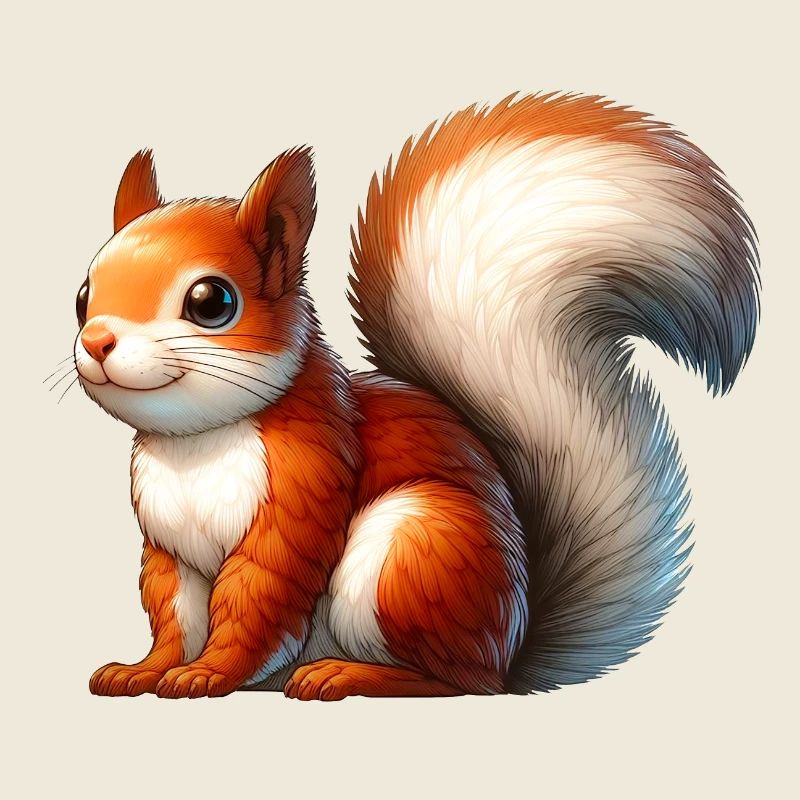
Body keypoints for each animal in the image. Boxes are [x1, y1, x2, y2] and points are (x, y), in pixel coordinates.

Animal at [70, 93, 759, 699]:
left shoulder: (302, 490)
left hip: (414, 550)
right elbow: (173, 614)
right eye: (82, 295)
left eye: (211, 301)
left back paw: (350, 675)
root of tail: (506, 655)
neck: (196, 446)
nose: (97, 341)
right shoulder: (168, 546)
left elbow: (258, 597)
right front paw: (144, 670)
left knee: (451, 683)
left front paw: (208, 674)